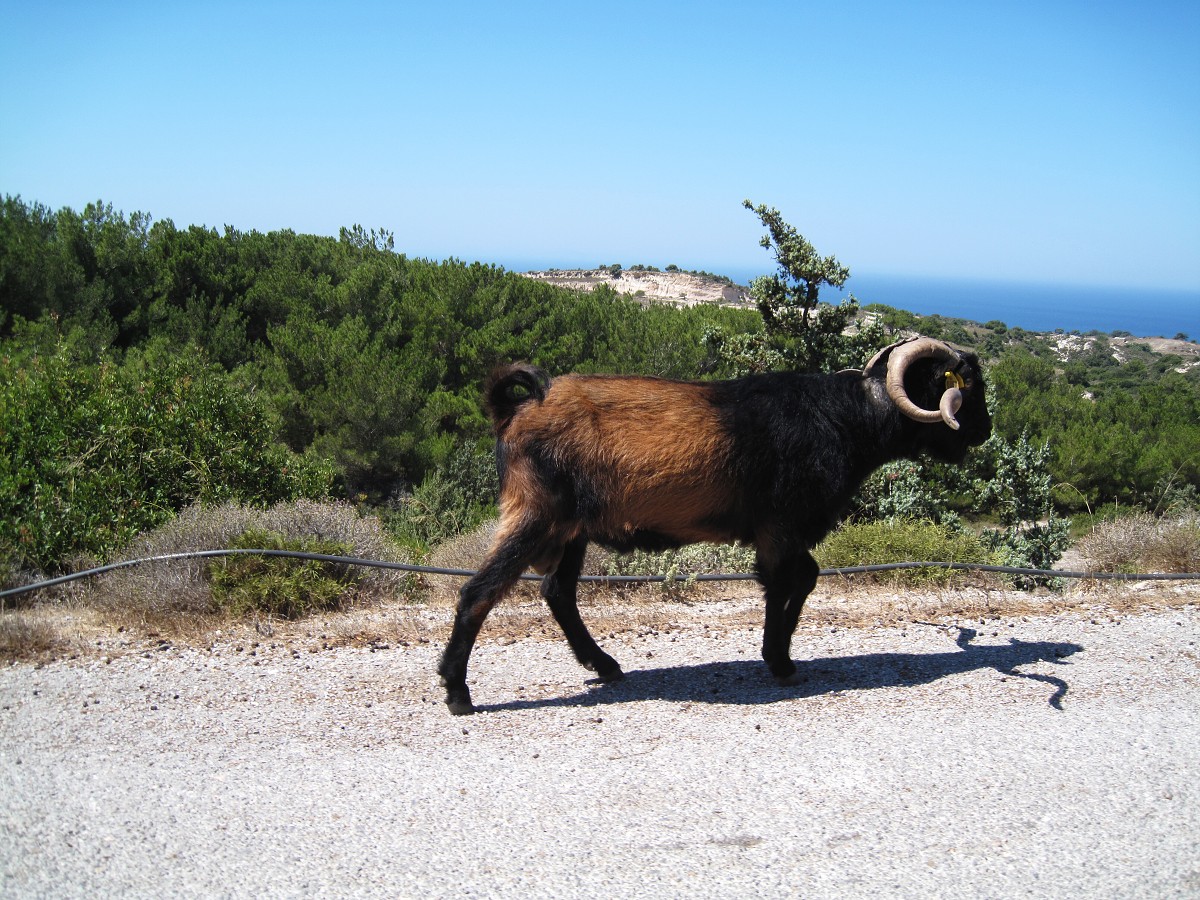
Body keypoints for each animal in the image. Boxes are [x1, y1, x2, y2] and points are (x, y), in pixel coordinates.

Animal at [441, 336, 993, 715]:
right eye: (961, 385)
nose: (984, 432)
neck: (844, 418)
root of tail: (511, 411)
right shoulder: (780, 527)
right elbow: (788, 583)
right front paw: (780, 662)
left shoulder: (782, 532)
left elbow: (799, 580)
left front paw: (779, 657)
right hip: (537, 515)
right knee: (479, 593)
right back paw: (457, 692)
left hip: (571, 528)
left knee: (558, 592)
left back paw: (606, 666)